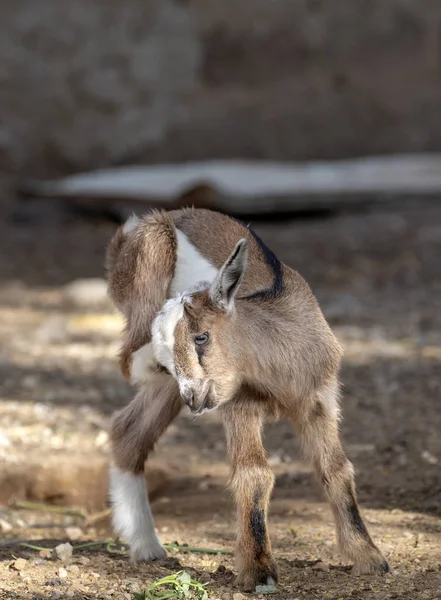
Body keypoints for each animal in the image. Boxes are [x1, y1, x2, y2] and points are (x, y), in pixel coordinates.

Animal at [105, 209, 386, 588]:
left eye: (202, 337)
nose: (193, 398)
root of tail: (131, 229)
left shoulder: (319, 400)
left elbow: (337, 469)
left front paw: (369, 557)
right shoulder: (239, 403)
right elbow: (254, 473)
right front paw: (259, 570)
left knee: (128, 431)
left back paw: (147, 547)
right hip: (150, 253)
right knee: (128, 361)